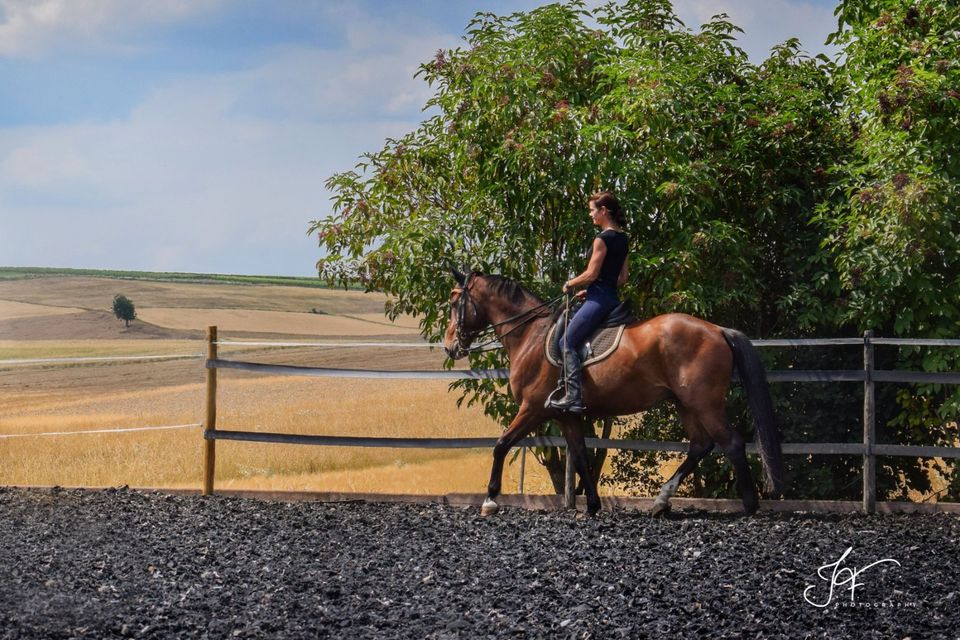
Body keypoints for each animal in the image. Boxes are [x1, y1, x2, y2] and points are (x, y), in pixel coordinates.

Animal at [438, 268, 784, 516]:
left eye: (455, 302)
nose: (450, 345)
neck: (531, 336)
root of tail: (718, 330)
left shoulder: (533, 408)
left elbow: (501, 445)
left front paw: (490, 499)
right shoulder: (564, 415)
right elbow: (579, 454)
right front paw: (592, 505)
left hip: (704, 403)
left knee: (732, 443)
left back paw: (749, 506)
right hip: (685, 404)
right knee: (700, 445)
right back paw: (661, 502)